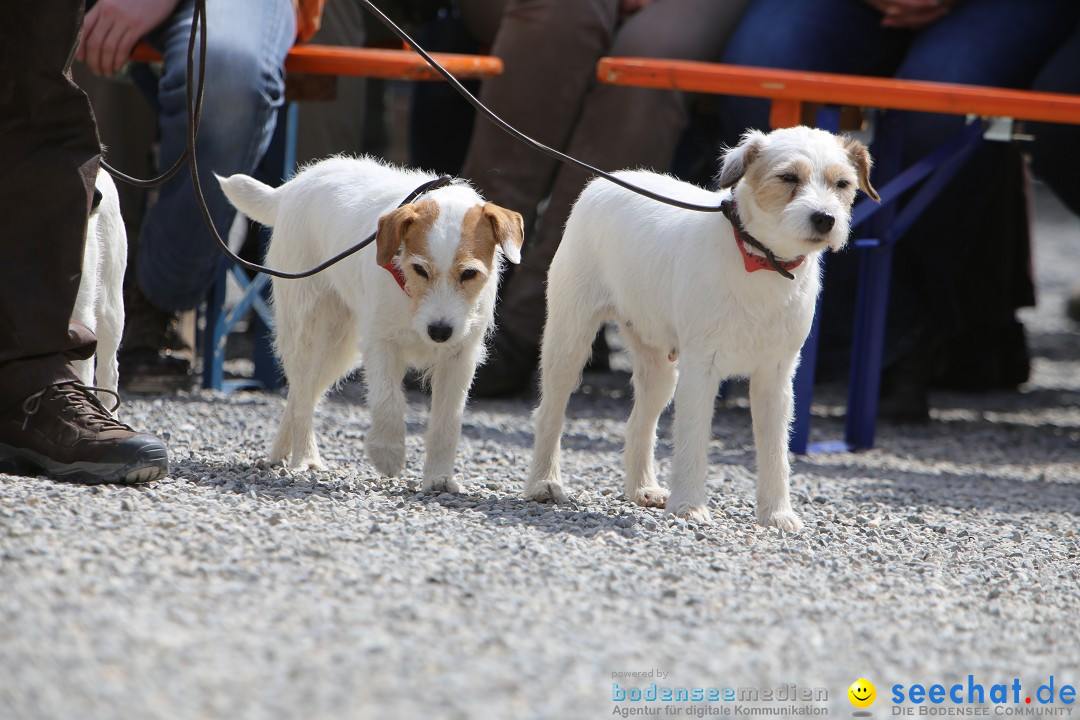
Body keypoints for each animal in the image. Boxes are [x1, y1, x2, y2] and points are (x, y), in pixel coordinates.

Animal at [218, 157, 522, 492]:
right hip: (307, 329)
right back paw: (306, 457)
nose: (439, 331)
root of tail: (294, 186)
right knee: (301, 394)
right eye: (420, 270)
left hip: (339, 349)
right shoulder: (381, 343)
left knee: (301, 393)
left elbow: (447, 420)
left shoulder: (459, 356)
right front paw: (387, 453)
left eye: (469, 274)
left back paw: (282, 452)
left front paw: (439, 477)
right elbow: (388, 400)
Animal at [522, 125, 876, 528]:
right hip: (569, 342)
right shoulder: (701, 370)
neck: (760, 260)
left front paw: (777, 514)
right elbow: (692, 438)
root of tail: (604, 182)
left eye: (842, 183)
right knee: (551, 410)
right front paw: (690, 505)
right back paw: (544, 483)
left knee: (638, 423)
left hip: (659, 367)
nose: (825, 218)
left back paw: (643, 488)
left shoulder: (775, 377)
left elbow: (775, 451)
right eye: (789, 177)